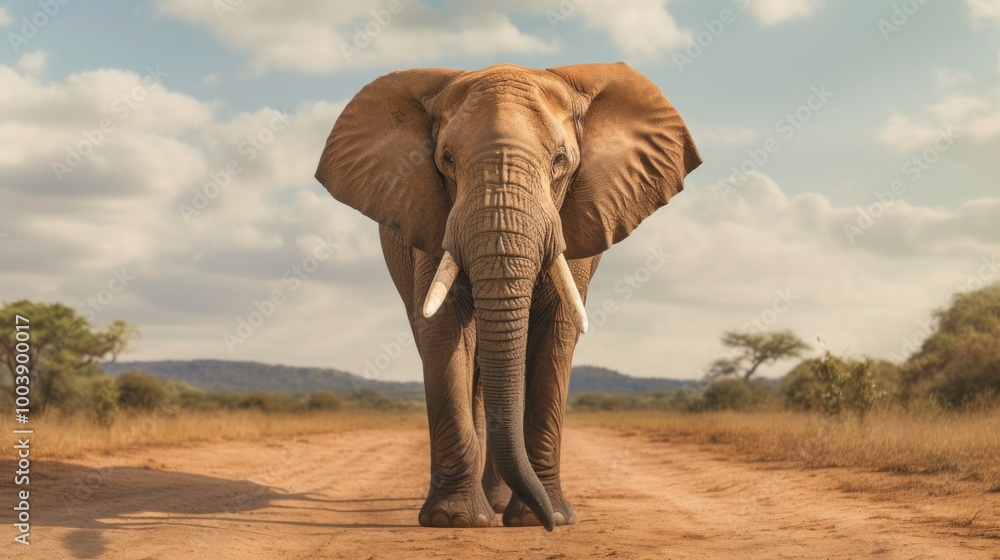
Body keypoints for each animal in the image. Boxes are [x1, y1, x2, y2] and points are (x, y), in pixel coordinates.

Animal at [314, 62, 701, 531]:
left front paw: (543, 517)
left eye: (560, 161)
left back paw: (502, 506)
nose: (550, 527)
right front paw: (455, 521)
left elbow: (558, 332)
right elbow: (443, 330)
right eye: (446, 160)